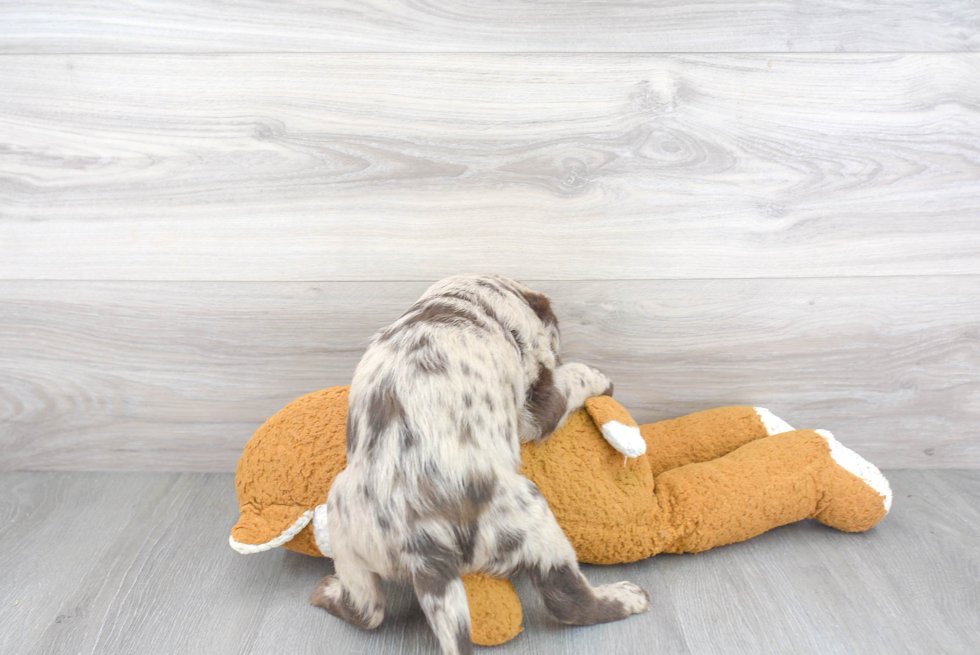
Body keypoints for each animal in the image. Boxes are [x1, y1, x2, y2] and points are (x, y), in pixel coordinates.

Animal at [314, 274, 652, 652]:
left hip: (344, 525)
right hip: (530, 515)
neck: (471, 302)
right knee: (567, 598)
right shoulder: (535, 407)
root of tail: (422, 544)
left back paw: (325, 591)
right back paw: (627, 597)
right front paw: (601, 378)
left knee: (366, 609)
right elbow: (574, 376)